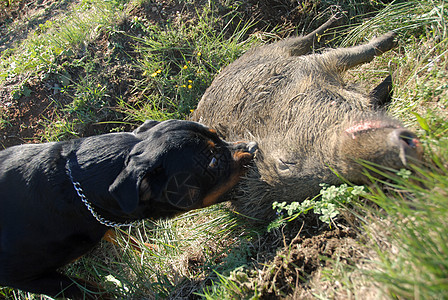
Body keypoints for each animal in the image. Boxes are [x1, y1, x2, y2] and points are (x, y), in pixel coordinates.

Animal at [0, 119, 258, 298]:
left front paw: (152, 249)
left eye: (219, 136)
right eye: (213, 161)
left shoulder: (103, 217)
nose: (254, 146)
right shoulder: (28, 278)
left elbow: (118, 234)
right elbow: (92, 291)